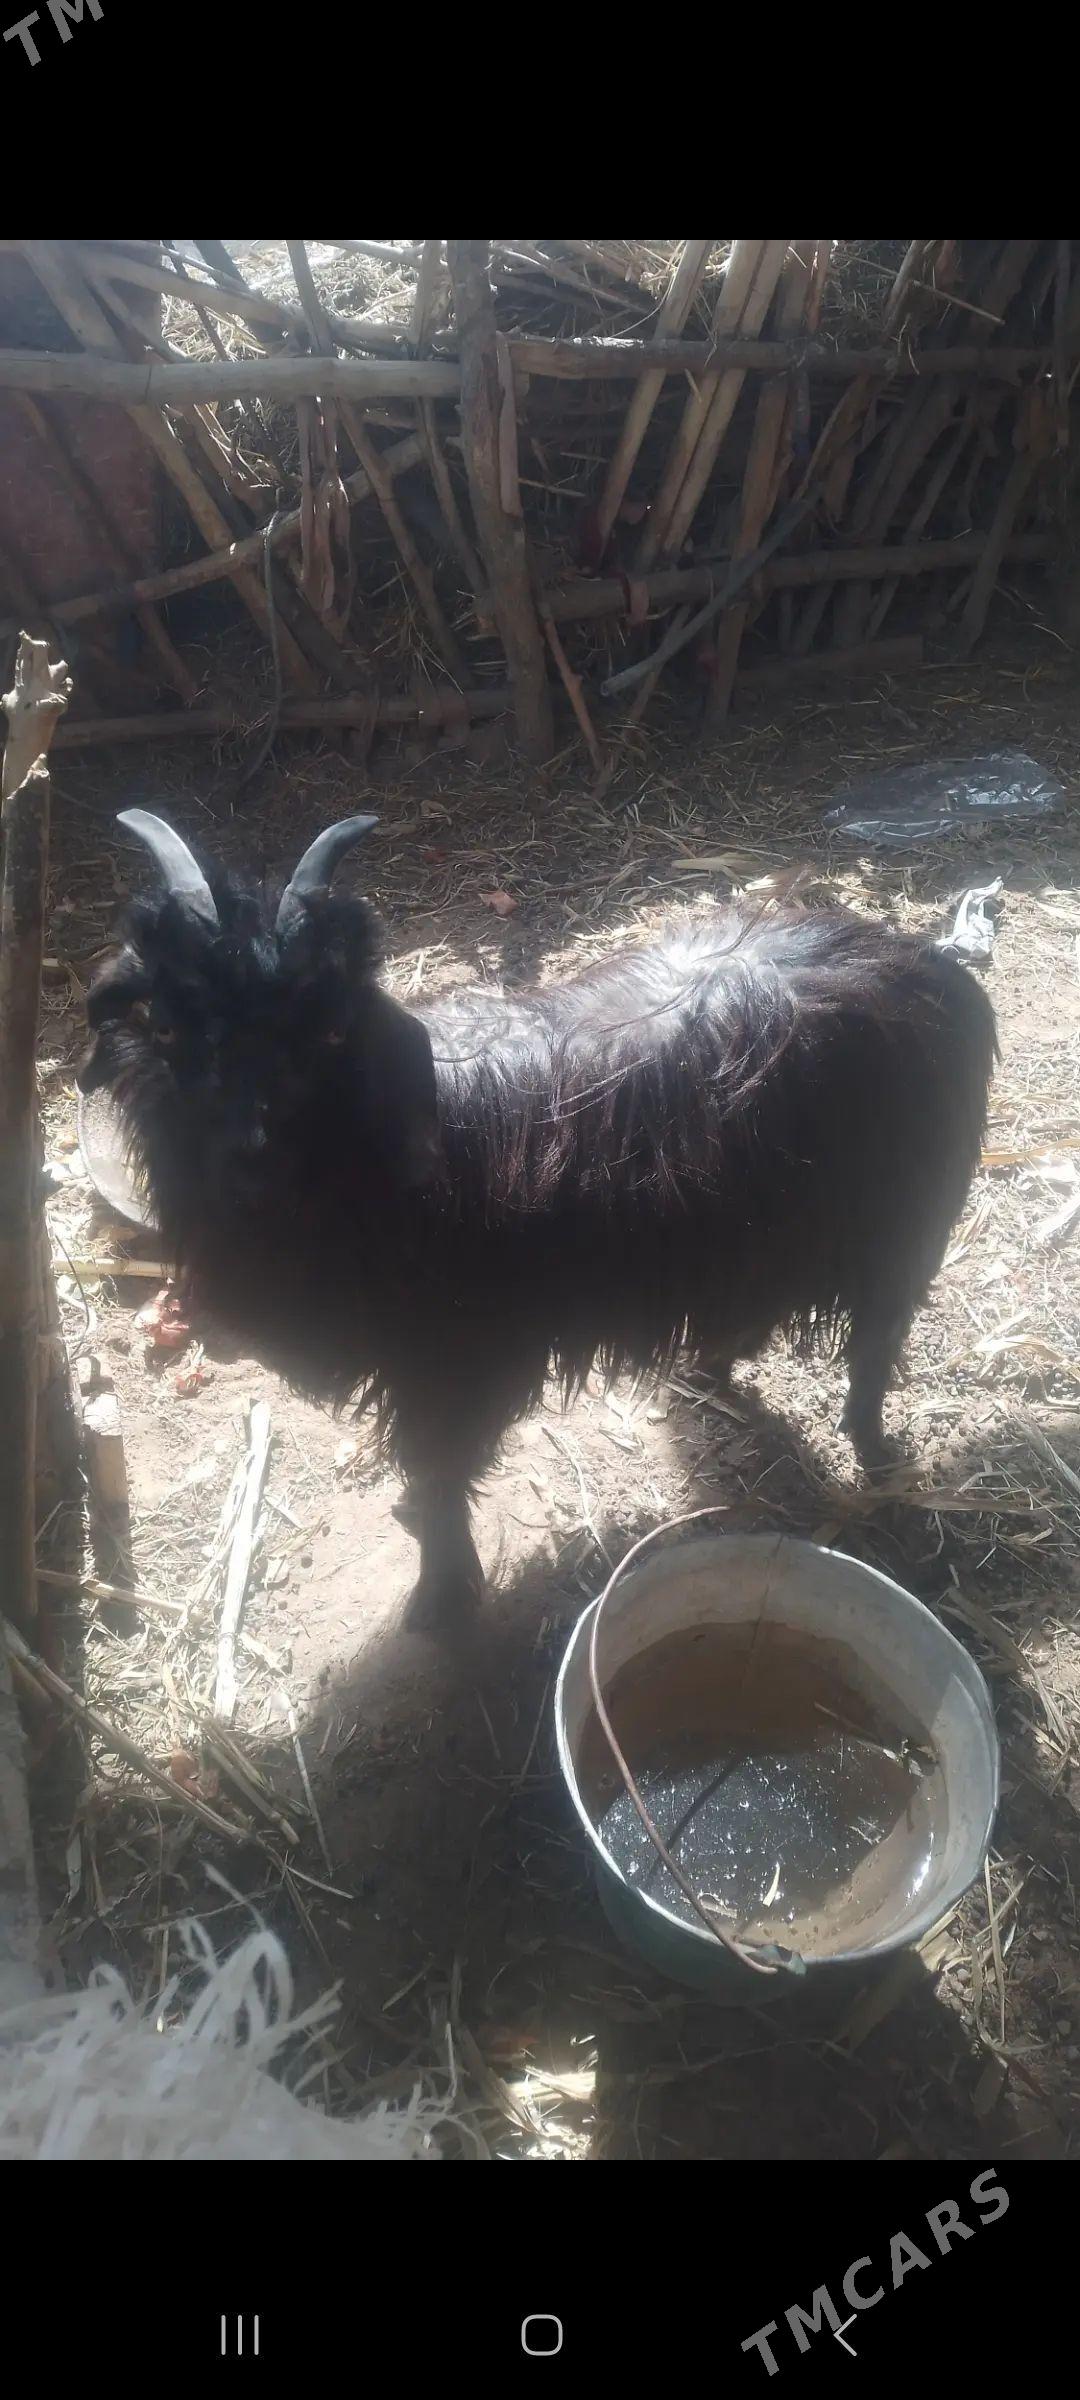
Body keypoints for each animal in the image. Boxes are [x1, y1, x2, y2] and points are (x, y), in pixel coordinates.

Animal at [78, 811, 998, 1625]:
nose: (250, 1158)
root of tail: (921, 957)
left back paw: (875, 1452)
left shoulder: (455, 1364)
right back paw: (712, 1365)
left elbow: (441, 1473)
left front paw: (442, 1600)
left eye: (331, 1032)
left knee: (876, 1346)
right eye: (167, 1026)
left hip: (901, 1228)